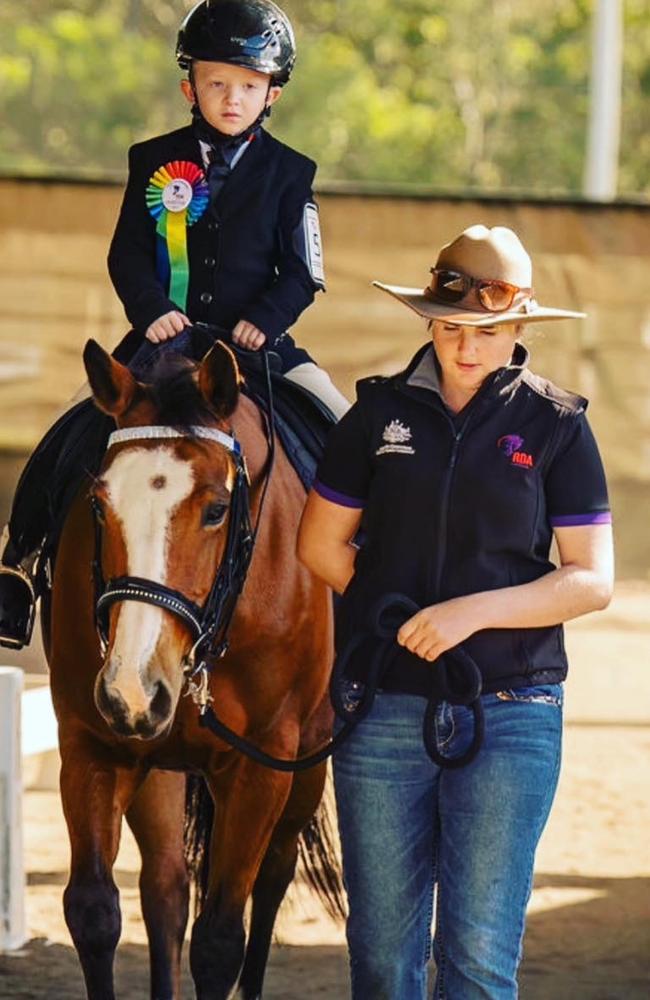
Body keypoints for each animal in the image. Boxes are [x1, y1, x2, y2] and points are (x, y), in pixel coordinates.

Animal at [44, 338, 340, 1000]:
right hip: (158, 762)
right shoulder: (94, 744)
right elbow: (94, 912)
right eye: (98, 503)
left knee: (273, 877)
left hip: (308, 759)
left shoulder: (261, 766)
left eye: (216, 509)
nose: (132, 689)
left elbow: (220, 939)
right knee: (166, 887)